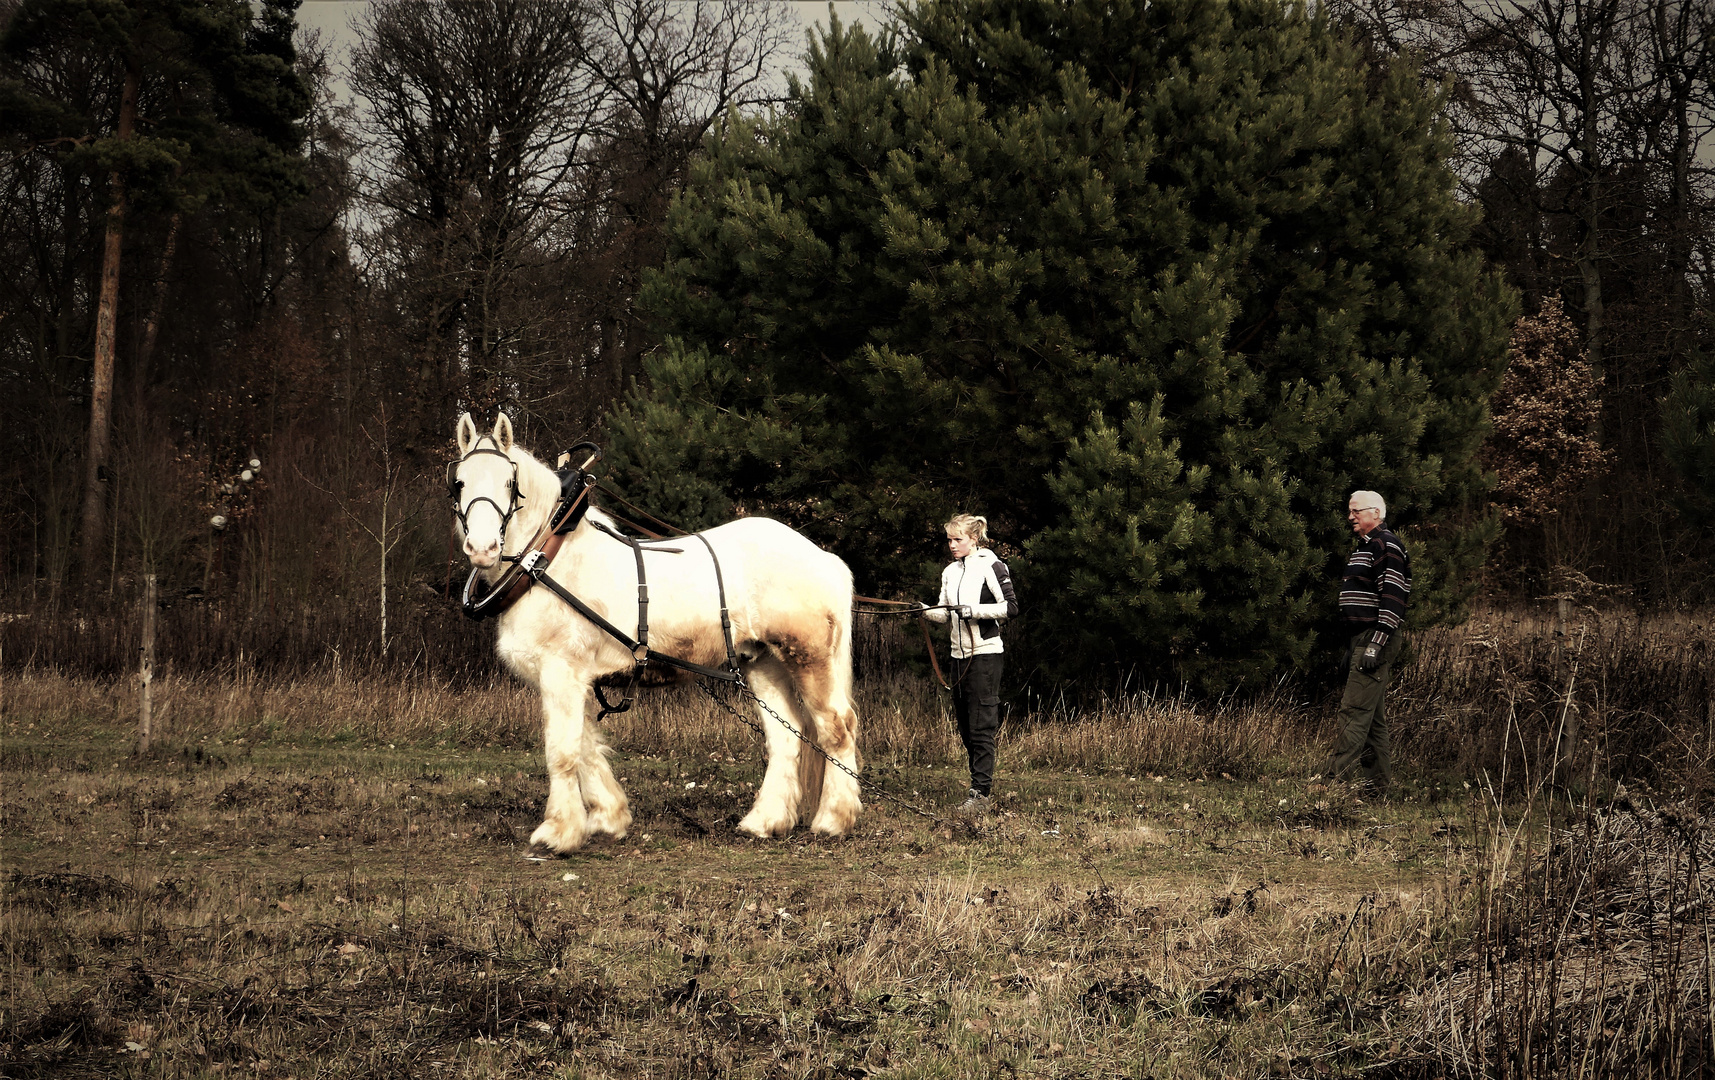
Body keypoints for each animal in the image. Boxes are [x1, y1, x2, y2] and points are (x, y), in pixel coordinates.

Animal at [449, 414, 864, 853]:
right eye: (459, 482)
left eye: (509, 483)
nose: (482, 548)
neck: (547, 560)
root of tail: (823, 556)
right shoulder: (575, 679)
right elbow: (586, 746)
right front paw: (609, 818)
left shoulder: (561, 671)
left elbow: (562, 751)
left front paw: (557, 833)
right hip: (762, 662)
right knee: (786, 736)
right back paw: (765, 821)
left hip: (809, 657)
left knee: (836, 727)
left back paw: (834, 819)